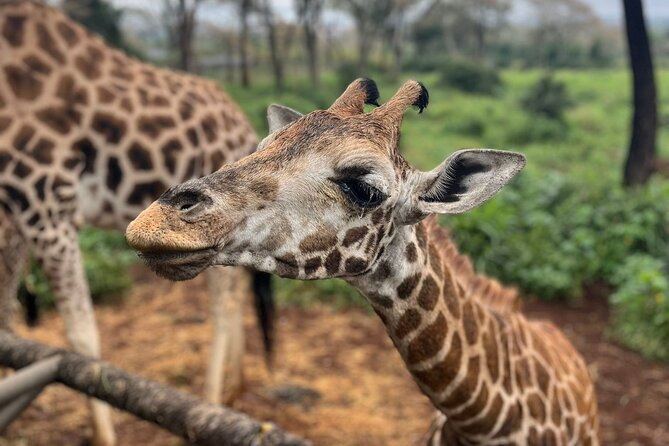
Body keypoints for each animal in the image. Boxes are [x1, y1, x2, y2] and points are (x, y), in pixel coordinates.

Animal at [0, 1, 272, 444]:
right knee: (236, 294)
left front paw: (103, 436)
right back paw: (233, 390)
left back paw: (211, 405)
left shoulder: (46, 199)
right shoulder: (15, 213)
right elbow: (7, 316)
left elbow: (81, 336)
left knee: (224, 302)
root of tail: (245, 128)